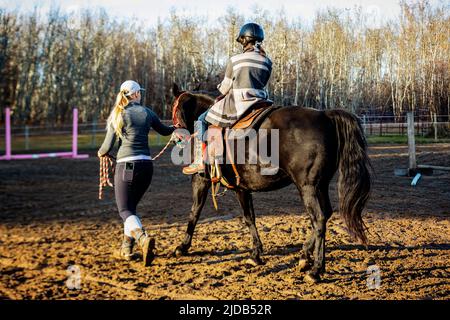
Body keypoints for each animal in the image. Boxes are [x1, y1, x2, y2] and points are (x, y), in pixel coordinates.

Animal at [171, 83, 370, 282]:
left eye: (175, 109)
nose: (175, 138)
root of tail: (325, 115)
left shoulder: (201, 180)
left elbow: (195, 212)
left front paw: (182, 247)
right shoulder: (243, 188)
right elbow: (250, 217)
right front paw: (256, 254)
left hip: (308, 187)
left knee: (319, 219)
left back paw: (316, 270)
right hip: (320, 186)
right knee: (326, 214)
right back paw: (304, 255)